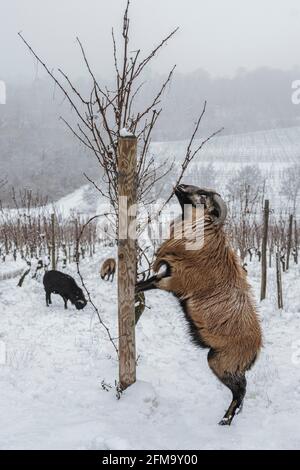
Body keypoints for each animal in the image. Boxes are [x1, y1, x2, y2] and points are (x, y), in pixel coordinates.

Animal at [137, 184, 262, 426]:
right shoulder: (168, 272)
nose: (181, 185)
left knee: (240, 390)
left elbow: (151, 284)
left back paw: (225, 420)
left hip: (220, 362)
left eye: (203, 196)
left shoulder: (175, 281)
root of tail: (256, 349)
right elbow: (147, 282)